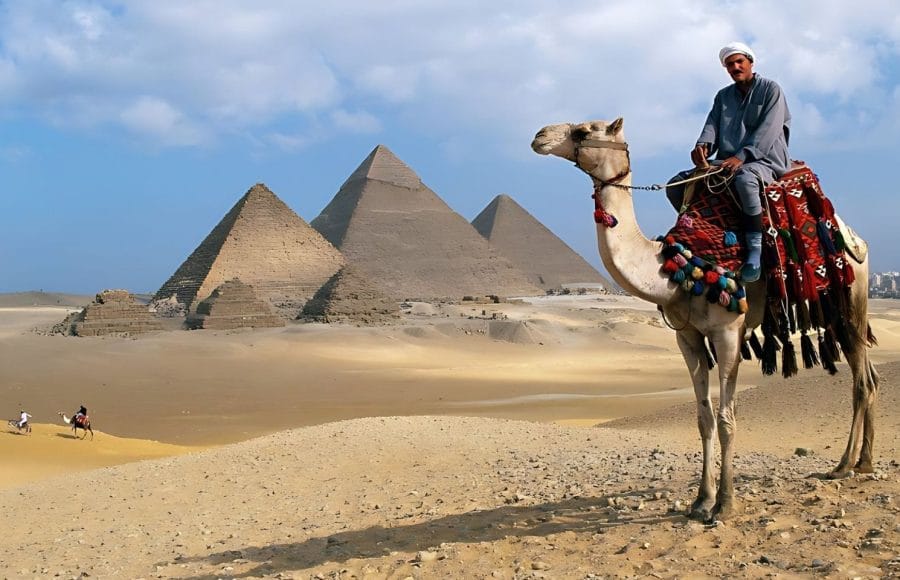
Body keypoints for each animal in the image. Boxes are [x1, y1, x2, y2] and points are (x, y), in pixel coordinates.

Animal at [532, 118, 879, 522]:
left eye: (584, 130)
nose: (539, 136)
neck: (674, 266)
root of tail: (853, 235)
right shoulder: (688, 337)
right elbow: (704, 418)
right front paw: (701, 500)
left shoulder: (728, 332)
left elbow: (727, 419)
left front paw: (724, 503)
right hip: (834, 310)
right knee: (868, 375)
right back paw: (863, 461)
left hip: (851, 297)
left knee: (860, 382)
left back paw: (844, 465)